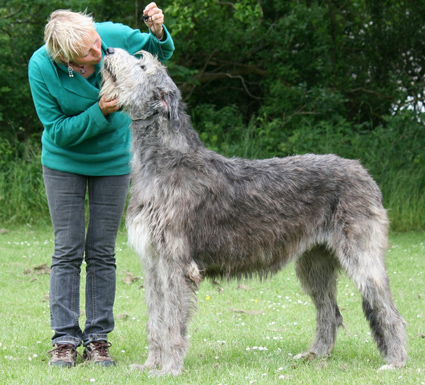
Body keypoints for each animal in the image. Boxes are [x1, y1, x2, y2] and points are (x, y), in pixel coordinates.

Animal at [100, 48, 408, 376]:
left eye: (142, 64)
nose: (108, 50)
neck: (166, 161)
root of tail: (364, 173)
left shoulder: (175, 263)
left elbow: (171, 320)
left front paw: (168, 368)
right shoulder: (153, 262)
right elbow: (155, 319)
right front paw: (150, 364)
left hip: (362, 255)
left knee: (387, 309)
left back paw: (396, 361)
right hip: (314, 263)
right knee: (329, 310)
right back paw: (316, 354)